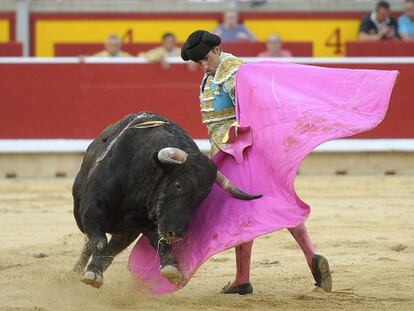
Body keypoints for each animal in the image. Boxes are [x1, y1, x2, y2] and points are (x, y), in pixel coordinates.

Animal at [71, 111, 258, 288]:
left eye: (202, 197)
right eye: (178, 185)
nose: (175, 233)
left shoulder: (141, 224)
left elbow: (157, 242)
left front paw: (171, 268)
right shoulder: (92, 209)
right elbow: (99, 241)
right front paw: (92, 274)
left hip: (125, 232)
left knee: (110, 251)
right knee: (90, 244)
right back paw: (76, 273)